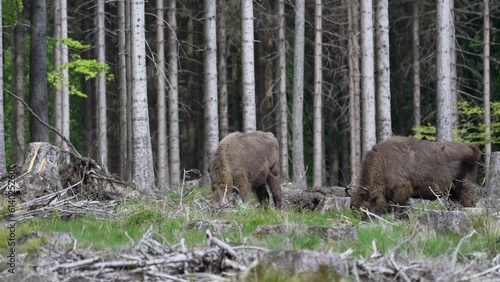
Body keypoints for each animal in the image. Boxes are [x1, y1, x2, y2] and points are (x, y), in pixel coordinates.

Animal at [348, 135, 480, 215]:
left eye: (365, 206)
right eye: (352, 206)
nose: (361, 221)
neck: (384, 161)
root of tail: (470, 148)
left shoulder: (401, 192)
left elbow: (400, 208)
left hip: (464, 188)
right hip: (452, 193)